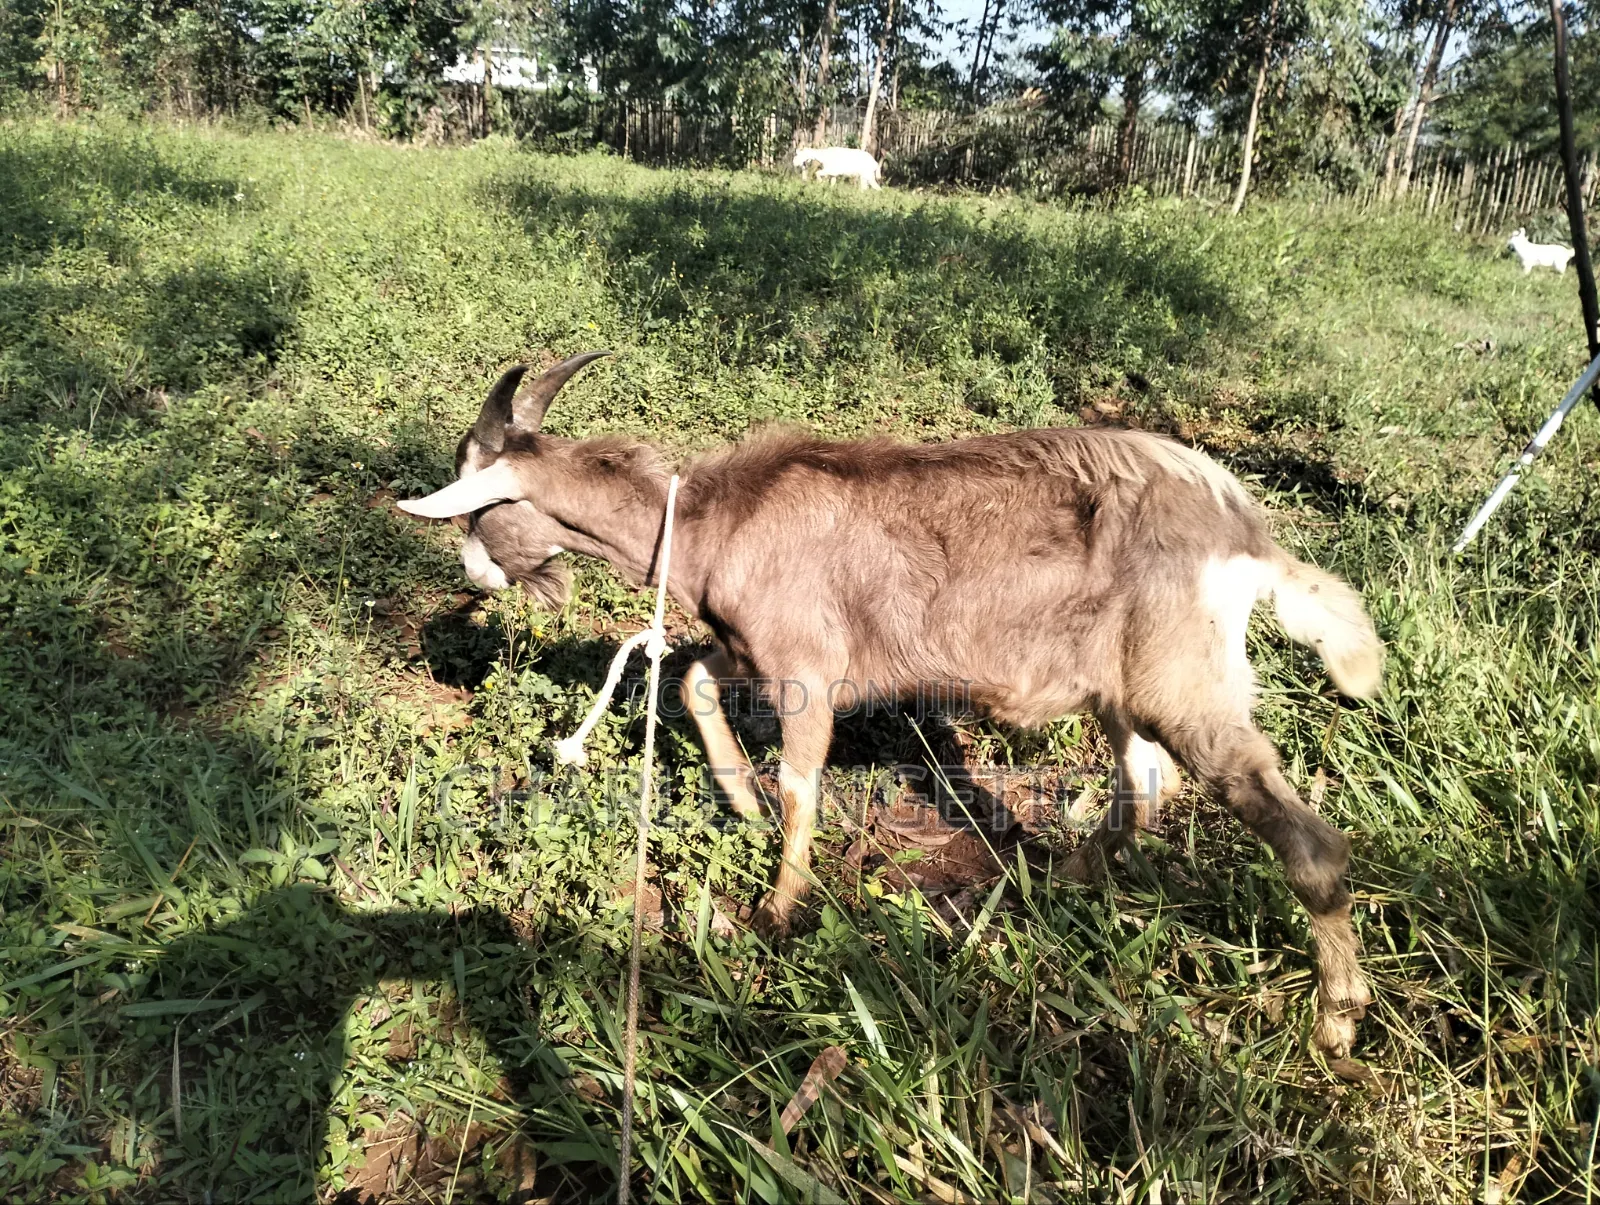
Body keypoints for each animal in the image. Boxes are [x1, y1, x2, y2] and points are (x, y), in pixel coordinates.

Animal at [398, 353, 1385, 1057]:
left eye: (473, 510)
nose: (475, 578)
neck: (717, 521)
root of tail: (1245, 534)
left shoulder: (808, 664)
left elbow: (801, 780)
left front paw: (778, 907)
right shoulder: (754, 646)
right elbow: (692, 677)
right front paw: (740, 798)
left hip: (1184, 679)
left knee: (1301, 838)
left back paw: (1338, 1019)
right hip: (1122, 682)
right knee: (1144, 779)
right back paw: (1062, 879)